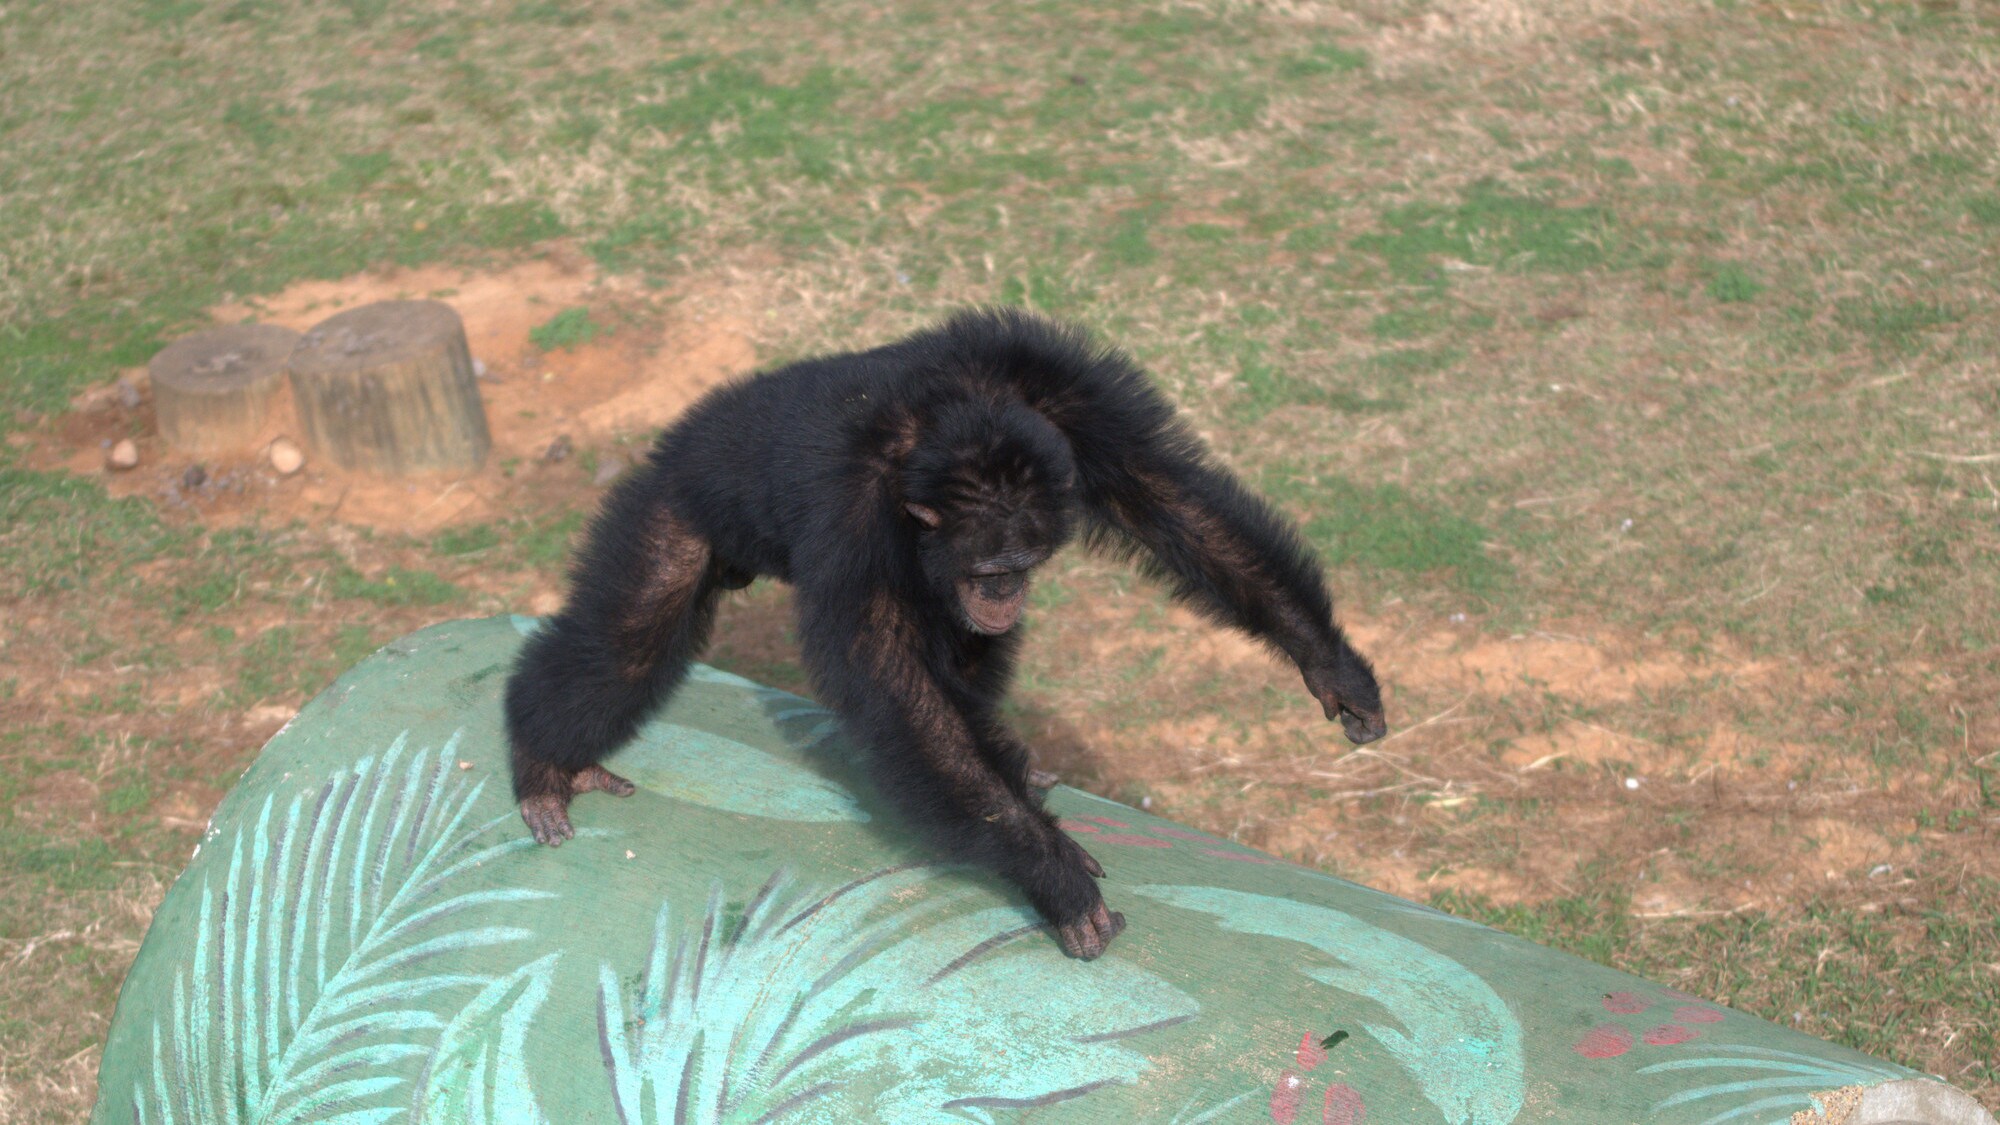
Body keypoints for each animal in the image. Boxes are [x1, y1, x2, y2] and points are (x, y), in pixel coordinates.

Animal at [500, 306, 1384, 952]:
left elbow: (1173, 500)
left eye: (1024, 559)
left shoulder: (1070, 392)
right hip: (673, 503)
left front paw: (1328, 662)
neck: (947, 416)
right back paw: (544, 761)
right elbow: (900, 690)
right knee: (626, 635)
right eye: (991, 563)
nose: (1004, 590)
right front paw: (1053, 870)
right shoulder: (849, 516)